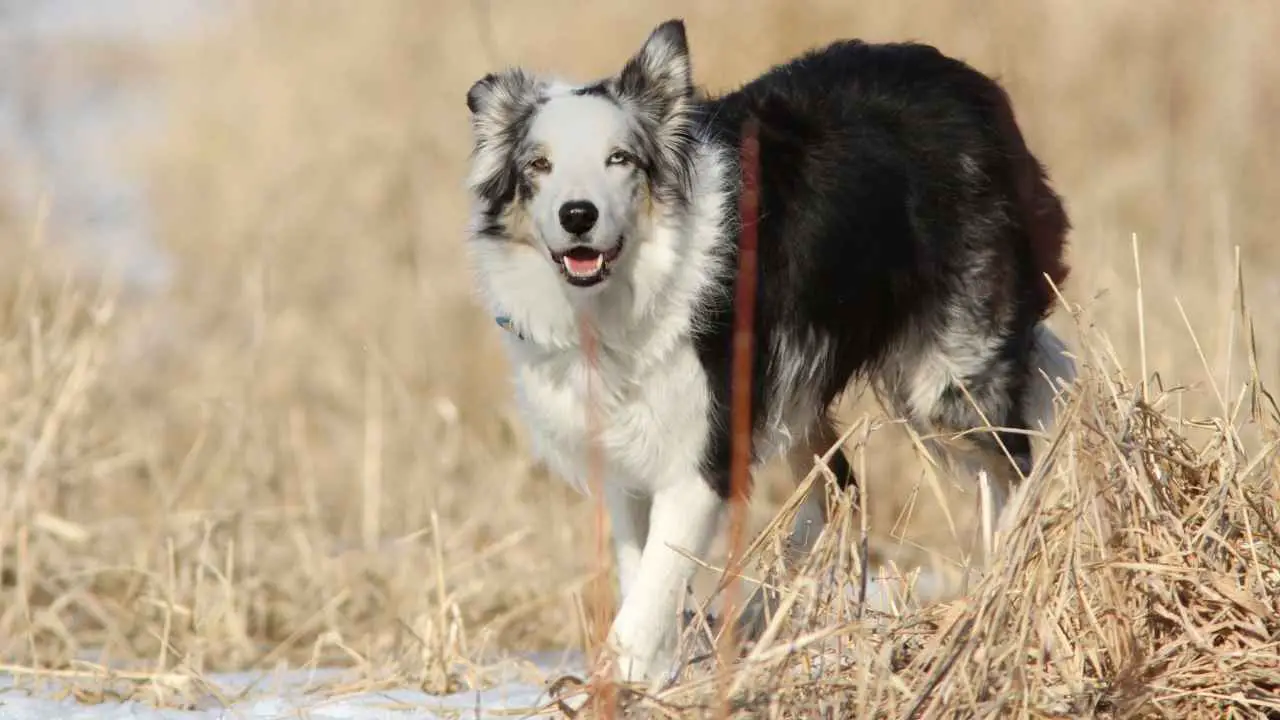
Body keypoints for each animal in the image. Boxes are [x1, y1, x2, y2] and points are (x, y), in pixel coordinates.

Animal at [465, 18, 1075, 681]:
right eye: (539, 164)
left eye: (619, 158)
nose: (578, 215)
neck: (622, 294)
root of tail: (972, 86)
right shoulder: (623, 458)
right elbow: (640, 578)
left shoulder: (702, 453)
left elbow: (646, 599)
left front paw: (625, 680)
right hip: (799, 387)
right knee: (839, 487)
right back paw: (766, 616)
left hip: (948, 382)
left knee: (1013, 469)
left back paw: (1000, 593)